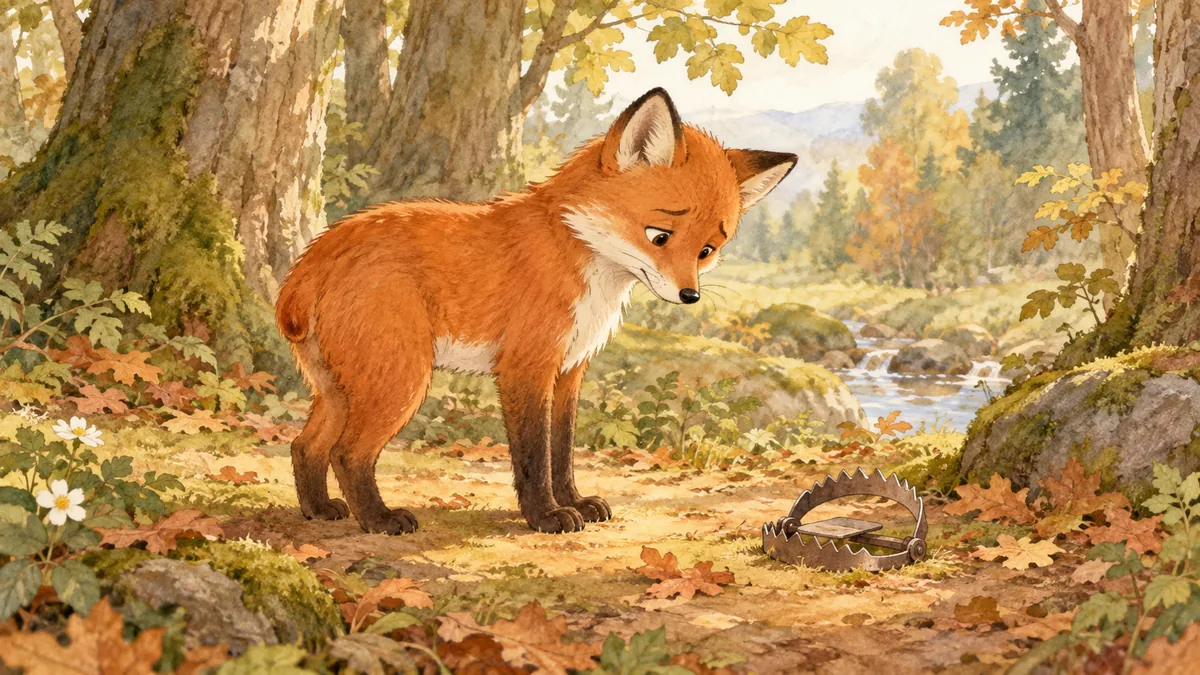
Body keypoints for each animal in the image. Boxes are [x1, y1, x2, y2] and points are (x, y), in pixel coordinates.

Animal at [276, 88, 796, 535]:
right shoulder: (527, 367)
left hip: (343, 387)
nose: (690, 296)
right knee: (348, 453)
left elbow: (561, 453)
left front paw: (576, 502)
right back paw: (379, 520)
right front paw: (545, 516)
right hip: (400, 381)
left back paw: (318, 510)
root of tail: (317, 252)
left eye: (708, 250)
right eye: (659, 236)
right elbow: (532, 457)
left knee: (305, 446)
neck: (578, 254)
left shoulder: (568, 372)